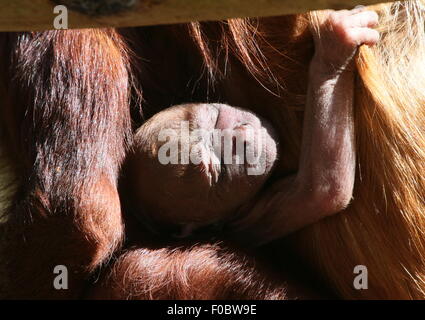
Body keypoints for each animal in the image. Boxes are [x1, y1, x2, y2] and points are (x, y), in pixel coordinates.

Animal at [0, 1, 422, 300]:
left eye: (215, 117)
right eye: (214, 169)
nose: (240, 140)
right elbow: (78, 212)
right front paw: (334, 54)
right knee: (145, 269)